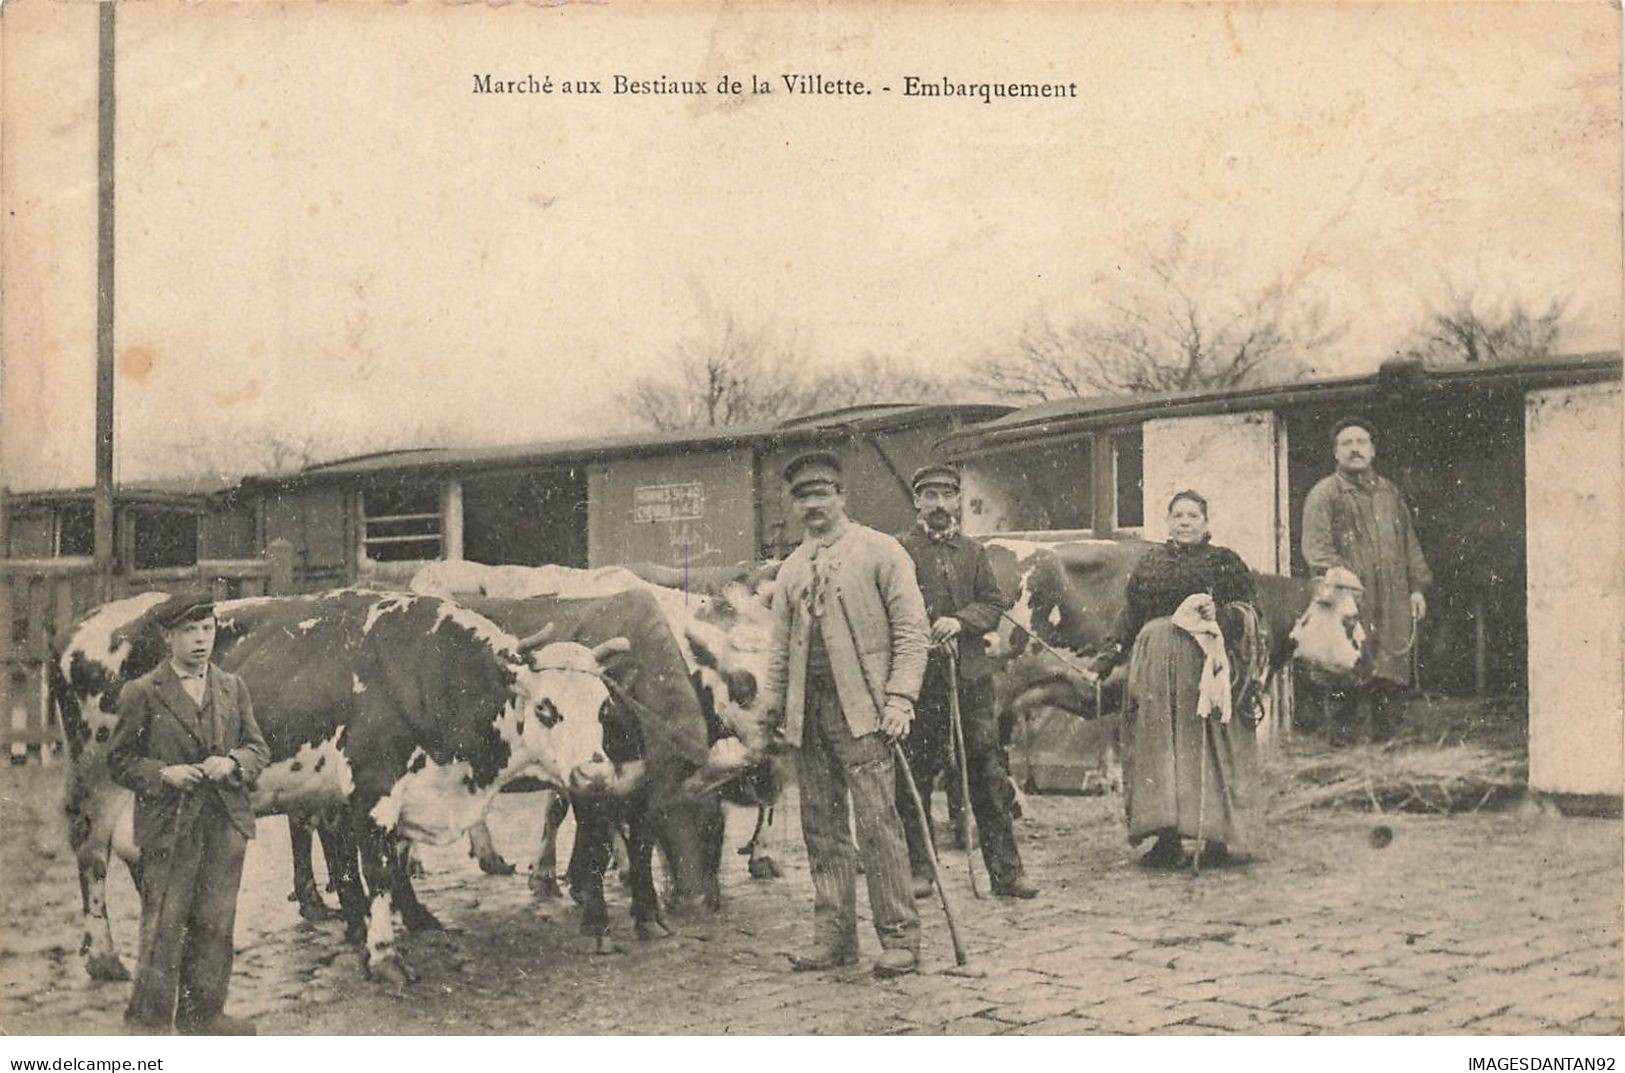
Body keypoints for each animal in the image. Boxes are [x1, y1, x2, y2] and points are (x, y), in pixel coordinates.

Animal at [50, 591, 633, 981]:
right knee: (93, 853)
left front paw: (417, 918)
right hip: (98, 774)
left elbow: (396, 860)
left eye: (604, 707)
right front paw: (383, 955)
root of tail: (87, 622)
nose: (596, 773)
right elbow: (375, 868)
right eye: (547, 708)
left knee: (139, 851)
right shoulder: (374, 788)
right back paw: (104, 956)